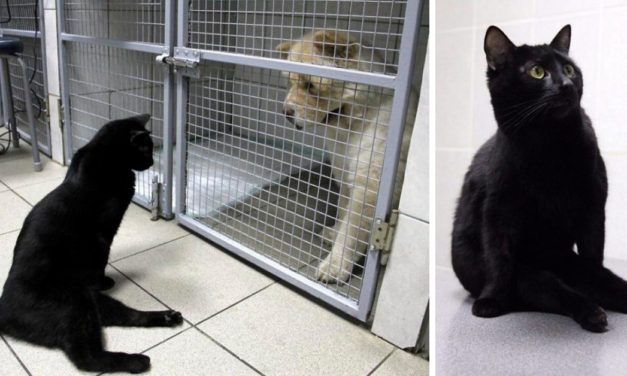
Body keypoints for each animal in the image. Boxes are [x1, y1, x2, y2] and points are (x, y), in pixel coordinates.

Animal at [0, 114, 184, 374]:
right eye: (146, 148)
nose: (150, 162)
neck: (103, 156)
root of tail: (2, 309)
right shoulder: (102, 236)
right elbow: (101, 260)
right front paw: (102, 280)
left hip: (93, 305)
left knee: (129, 317)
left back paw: (168, 317)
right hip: (75, 307)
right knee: (86, 358)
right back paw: (137, 360)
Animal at [278, 30, 418, 282]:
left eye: (310, 85)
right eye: (290, 82)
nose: (286, 113)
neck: (351, 126)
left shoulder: (368, 187)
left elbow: (351, 233)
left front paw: (334, 266)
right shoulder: (344, 174)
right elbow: (343, 211)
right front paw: (333, 233)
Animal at [452, 25, 627, 332]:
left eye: (569, 69)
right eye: (537, 72)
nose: (566, 85)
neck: (548, 147)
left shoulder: (593, 210)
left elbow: (594, 259)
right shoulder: (498, 212)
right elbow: (499, 260)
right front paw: (492, 299)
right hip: (524, 270)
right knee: (546, 286)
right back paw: (591, 312)